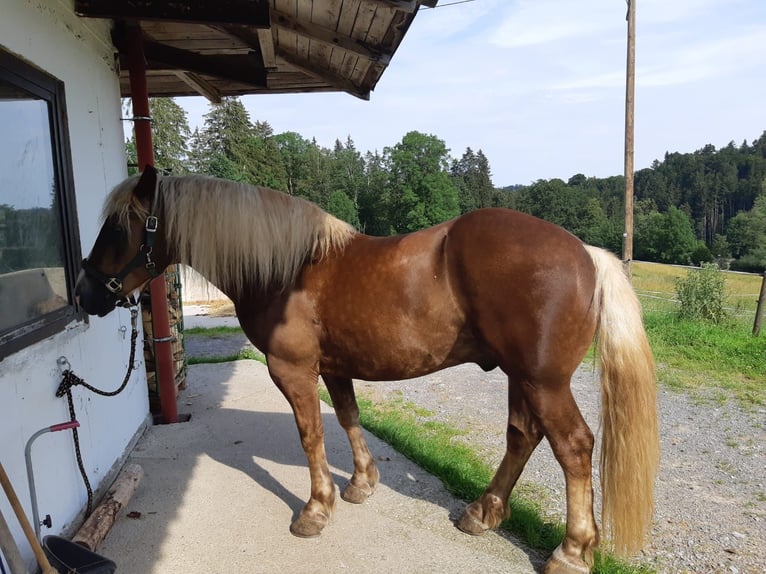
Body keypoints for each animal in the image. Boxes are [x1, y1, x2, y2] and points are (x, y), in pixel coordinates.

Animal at [76, 165, 660, 572]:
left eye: (119, 228)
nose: (84, 294)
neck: (288, 268)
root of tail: (585, 252)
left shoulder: (293, 370)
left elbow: (311, 433)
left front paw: (316, 509)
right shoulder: (335, 367)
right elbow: (348, 419)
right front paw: (360, 484)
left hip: (544, 381)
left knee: (574, 447)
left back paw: (571, 550)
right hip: (523, 378)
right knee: (523, 435)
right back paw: (482, 512)